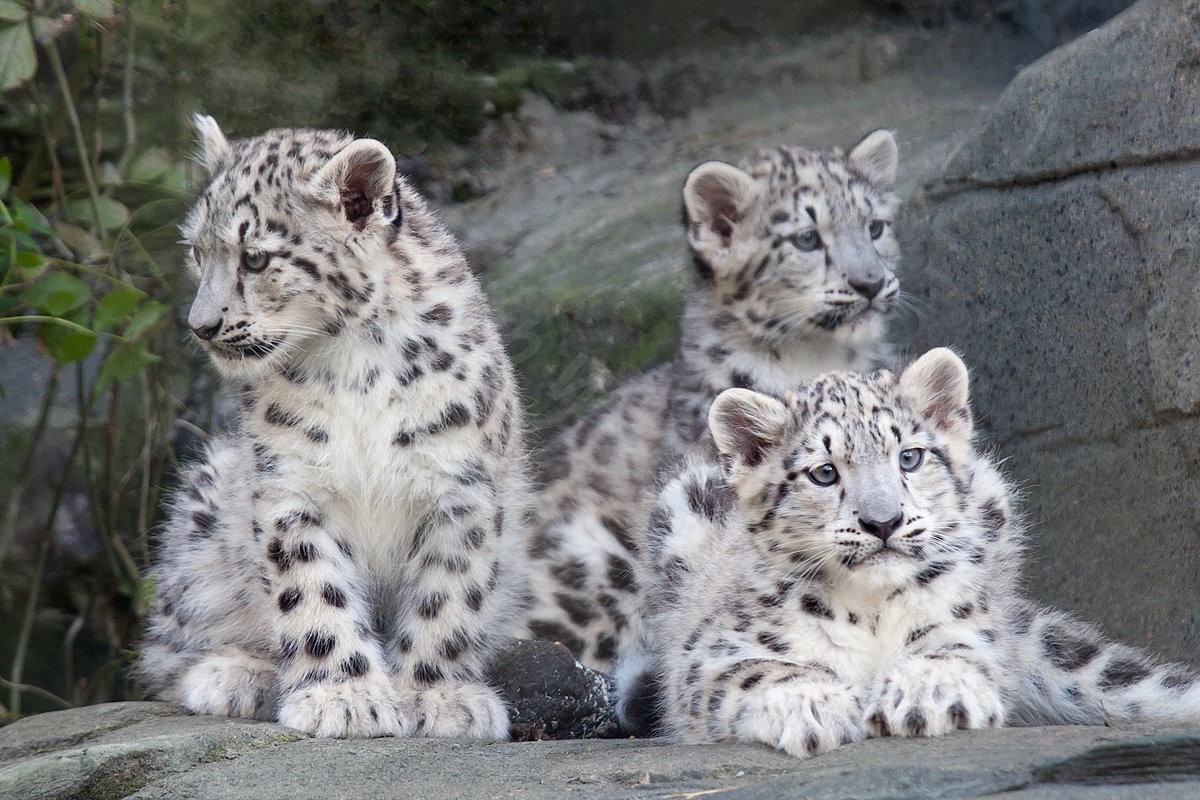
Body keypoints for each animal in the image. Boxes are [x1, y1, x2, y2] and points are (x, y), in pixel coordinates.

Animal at [138, 116, 533, 740]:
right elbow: (312, 589)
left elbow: (447, 594)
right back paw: (235, 675)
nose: (202, 326)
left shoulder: (459, 485)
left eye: (255, 258)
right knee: (163, 649)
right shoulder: (292, 486)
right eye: (197, 252)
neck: (353, 363)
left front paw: (439, 698)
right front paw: (344, 698)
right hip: (200, 523)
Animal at [614, 348, 1200, 756]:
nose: (883, 521)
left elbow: (959, 650)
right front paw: (815, 706)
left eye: (910, 457)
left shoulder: (972, 626)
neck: (869, 612)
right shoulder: (706, 653)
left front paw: (927, 695)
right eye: (824, 472)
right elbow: (756, 670)